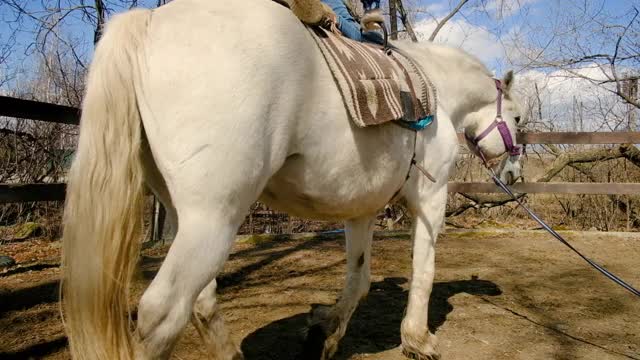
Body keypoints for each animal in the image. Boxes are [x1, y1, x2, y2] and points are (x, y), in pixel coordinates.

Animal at [60, 0, 524, 360]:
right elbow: (423, 270)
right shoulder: (431, 198)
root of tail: (149, 21)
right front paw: (417, 339)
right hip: (213, 218)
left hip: (183, 216)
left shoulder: (361, 210)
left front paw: (325, 332)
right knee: (163, 313)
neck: (436, 90)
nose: (514, 174)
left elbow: (358, 278)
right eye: (518, 118)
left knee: (202, 300)